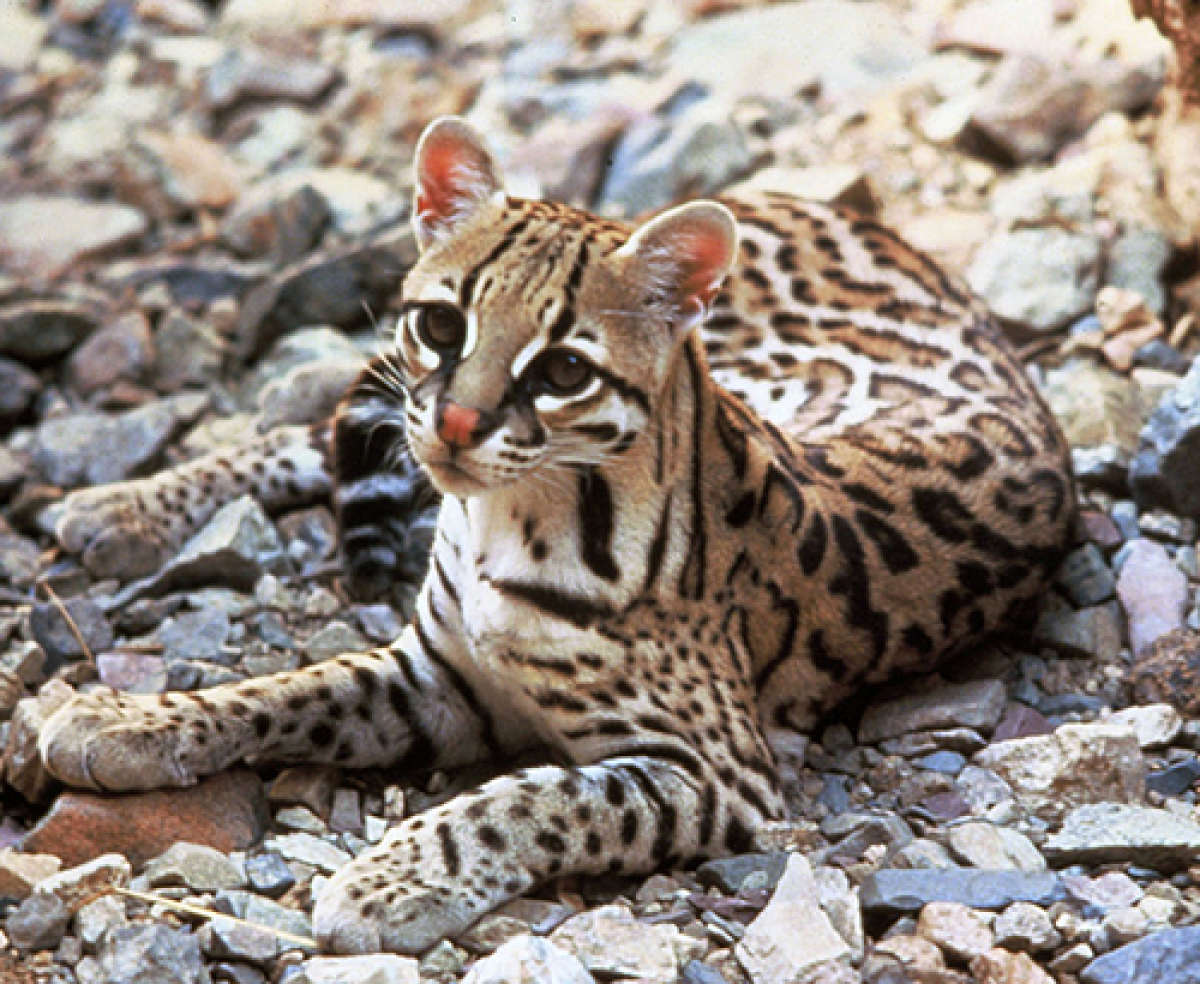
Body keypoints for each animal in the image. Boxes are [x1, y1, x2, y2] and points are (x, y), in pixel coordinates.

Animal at [37, 117, 1075, 955]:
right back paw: (128, 507)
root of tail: (819, 200)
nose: (458, 424)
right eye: (440, 323)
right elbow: (286, 686)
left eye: (565, 371)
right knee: (318, 428)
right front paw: (129, 719)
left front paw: (387, 882)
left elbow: (523, 799)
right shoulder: (434, 672)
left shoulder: (718, 768)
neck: (509, 519)